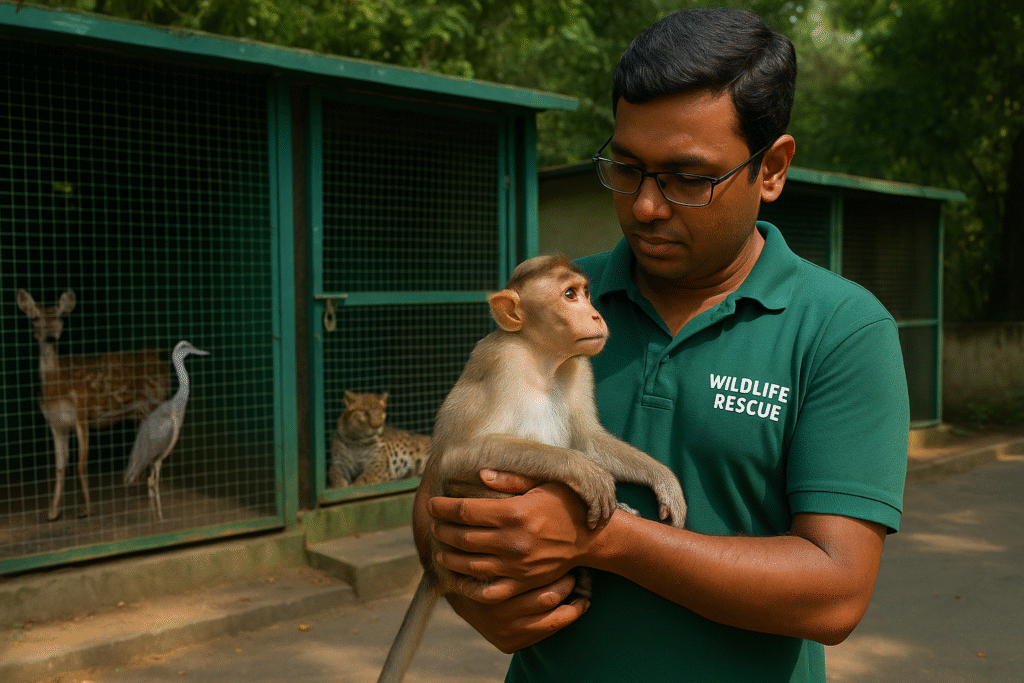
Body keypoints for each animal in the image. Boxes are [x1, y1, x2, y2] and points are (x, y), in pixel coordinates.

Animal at [375, 255, 687, 683]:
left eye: (585, 293)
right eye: (569, 295)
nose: (595, 314)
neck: (542, 359)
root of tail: (438, 568)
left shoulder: (578, 367)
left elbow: (588, 439)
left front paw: (664, 480)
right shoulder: (501, 360)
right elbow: (456, 457)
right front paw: (585, 473)